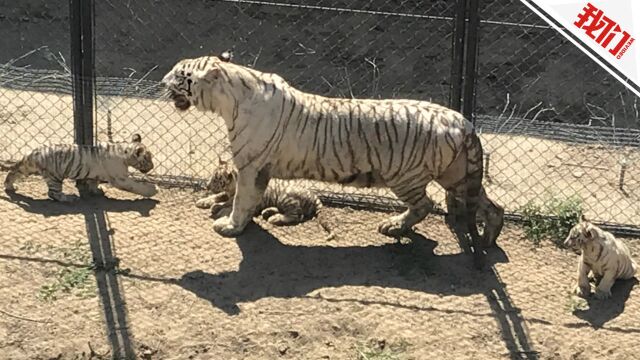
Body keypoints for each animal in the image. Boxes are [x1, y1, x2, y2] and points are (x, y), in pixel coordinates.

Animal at [1, 134, 157, 201]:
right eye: (148, 159)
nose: (153, 166)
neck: (124, 153)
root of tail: (33, 152)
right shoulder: (121, 179)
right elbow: (136, 186)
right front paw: (153, 190)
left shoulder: (96, 175)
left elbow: (93, 182)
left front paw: (97, 191)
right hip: (54, 177)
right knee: (53, 194)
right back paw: (68, 198)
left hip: (26, 168)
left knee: (13, 172)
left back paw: (10, 187)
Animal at [161, 53, 504, 268]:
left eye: (180, 74)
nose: (163, 80)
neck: (228, 101)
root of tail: (463, 120)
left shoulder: (250, 165)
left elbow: (242, 200)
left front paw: (231, 226)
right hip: (457, 176)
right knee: (492, 205)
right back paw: (489, 239)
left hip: (407, 176)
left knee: (425, 205)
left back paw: (393, 226)